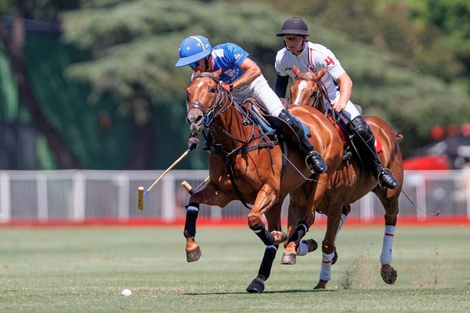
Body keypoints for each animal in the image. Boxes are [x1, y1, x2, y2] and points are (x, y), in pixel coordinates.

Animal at [185, 69, 344, 292]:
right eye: (188, 92)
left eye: (212, 89)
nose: (194, 118)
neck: (236, 142)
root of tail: (322, 117)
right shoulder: (221, 193)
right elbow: (193, 201)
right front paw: (192, 248)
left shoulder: (269, 188)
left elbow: (253, 220)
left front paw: (278, 236)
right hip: (286, 192)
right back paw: (259, 279)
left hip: (320, 179)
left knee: (308, 216)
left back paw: (291, 247)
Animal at [282, 66, 404, 288]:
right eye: (291, 91)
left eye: (313, 93)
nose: (295, 117)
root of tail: (387, 128)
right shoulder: (298, 202)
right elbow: (293, 238)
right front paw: (301, 248)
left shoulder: (334, 204)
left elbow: (326, 244)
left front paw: (322, 281)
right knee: (348, 212)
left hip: (390, 193)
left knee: (391, 218)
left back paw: (387, 269)